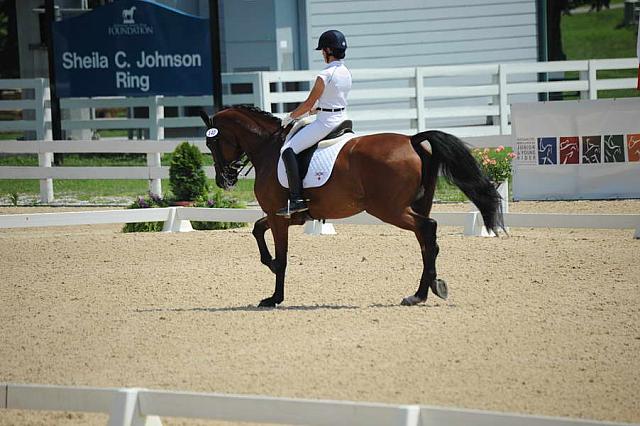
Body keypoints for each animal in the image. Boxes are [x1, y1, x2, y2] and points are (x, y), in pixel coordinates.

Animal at [198, 106, 502, 306]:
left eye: (212, 142)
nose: (223, 180)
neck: (268, 149)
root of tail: (412, 140)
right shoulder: (287, 216)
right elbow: (256, 231)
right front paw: (270, 267)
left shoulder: (277, 215)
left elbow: (281, 256)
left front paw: (275, 296)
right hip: (414, 205)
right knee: (427, 241)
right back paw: (424, 292)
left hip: (389, 209)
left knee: (429, 229)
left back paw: (422, 293)